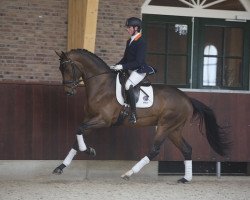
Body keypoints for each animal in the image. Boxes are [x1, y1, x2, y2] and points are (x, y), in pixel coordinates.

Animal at [52, 48, 230, 183]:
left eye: (67, 69)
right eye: (60, 69)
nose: (68, 92)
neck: (101, 86)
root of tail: (187, 98)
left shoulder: (103, 120)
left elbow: (79, 131)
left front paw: (89, 151)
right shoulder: (90, 119)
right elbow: (77, 137)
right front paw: (61, 167)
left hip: (165, 126)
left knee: (154, 150)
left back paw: (129, 173)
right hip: (174, 129)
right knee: (187, 149)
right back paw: (185, 179)